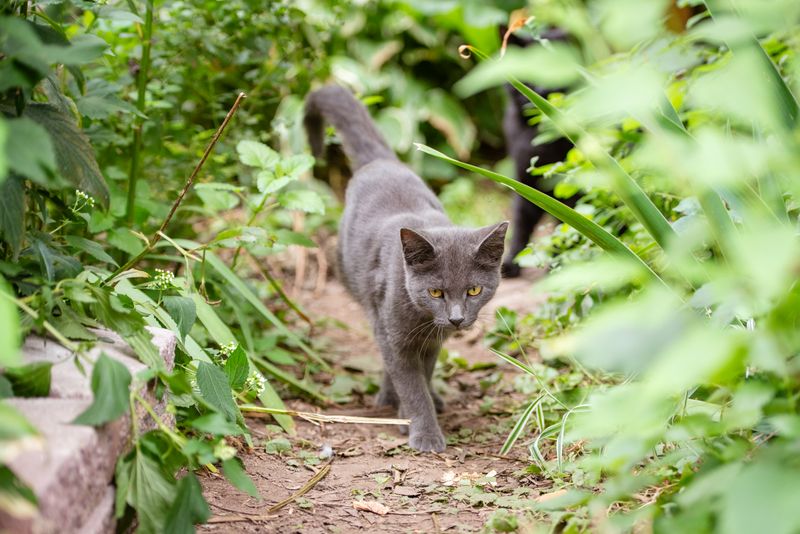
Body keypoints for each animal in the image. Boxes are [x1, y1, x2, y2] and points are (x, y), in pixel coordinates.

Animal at [306, 87, 506, 452]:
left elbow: (422, 375)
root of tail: (382, 162)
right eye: (435, 292)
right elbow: (410, 384)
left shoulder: (432, 340)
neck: (425, 321)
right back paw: (390, 399)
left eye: (473, 290)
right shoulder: (397, 334)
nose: (456, 319)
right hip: (365, 296)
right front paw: (422, 431)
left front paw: (418, 409)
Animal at [500, 28, 576, 278]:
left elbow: (568, 222)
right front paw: (511, 262)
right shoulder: (524, 180)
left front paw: (557, 259)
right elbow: (521, 223)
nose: (542, 90)